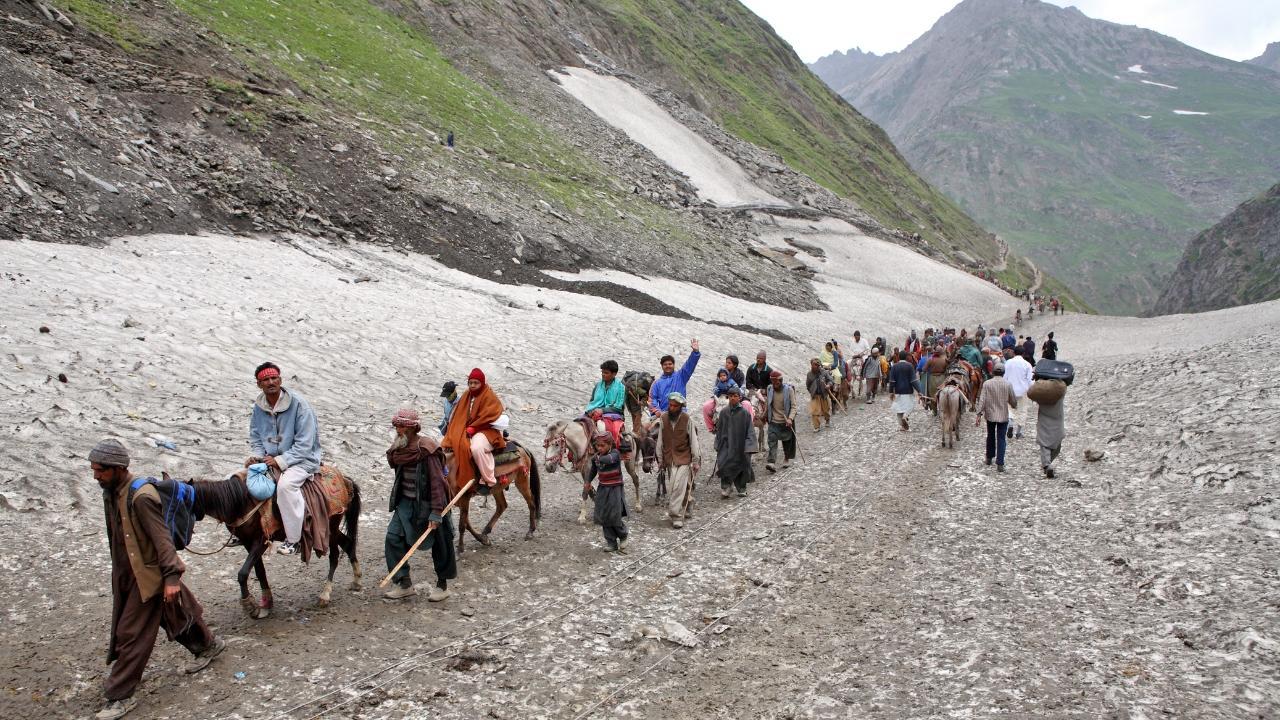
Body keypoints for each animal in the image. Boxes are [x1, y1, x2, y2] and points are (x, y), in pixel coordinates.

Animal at [188, 466, 360, 617]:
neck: (240, 502)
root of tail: (345, 480)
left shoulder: (260, 540)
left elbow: (243, 573)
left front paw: (250, 606)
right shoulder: (247, 542)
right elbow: (259, 571)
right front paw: (266, 602)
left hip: (329, 529)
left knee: (335, 555)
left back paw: (325, 594)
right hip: (331, 530)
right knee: (348, 543)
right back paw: (357, 580)